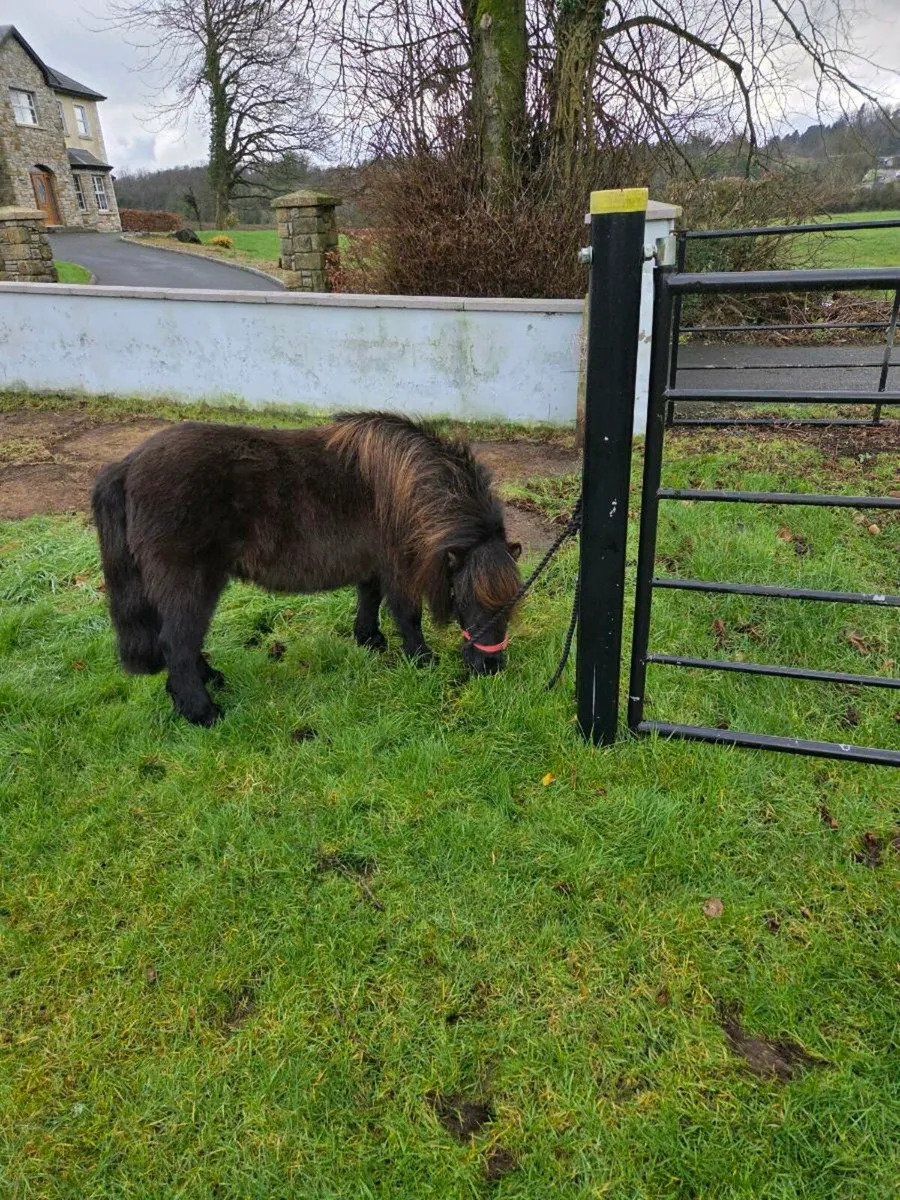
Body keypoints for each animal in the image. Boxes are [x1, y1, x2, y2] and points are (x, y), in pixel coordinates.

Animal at [91, 412, 523, 726]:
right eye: (465, 599)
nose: (491, 668)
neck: (408, 485)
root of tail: (127, 466)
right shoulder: (399, 568)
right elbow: (407, 614)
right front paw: (421, 658)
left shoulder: (375, 565)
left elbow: (369, 596)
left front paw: (369, 638)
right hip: (191, 583)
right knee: (177, 643)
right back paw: (204, 712)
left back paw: (209, 680)